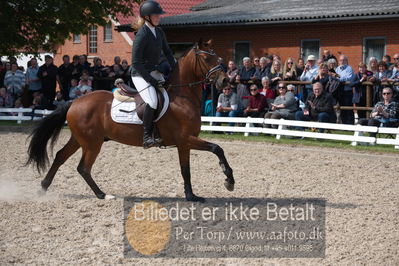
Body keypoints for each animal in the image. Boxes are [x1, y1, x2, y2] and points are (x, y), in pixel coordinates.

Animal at [26, 39, 234, 202]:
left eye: (218, 58)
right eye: (207, 59)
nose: (226, 81)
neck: (182, 96)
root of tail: (74, 101)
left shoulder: (184, 144)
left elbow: (186, 169)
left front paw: (192, 196)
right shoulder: (185, 139)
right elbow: (217, 148)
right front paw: (229, 181)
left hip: (79, 139)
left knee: (61, 156)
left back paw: (43, 188)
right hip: (92, 143)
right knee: (83, 167)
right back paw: (103, 195)